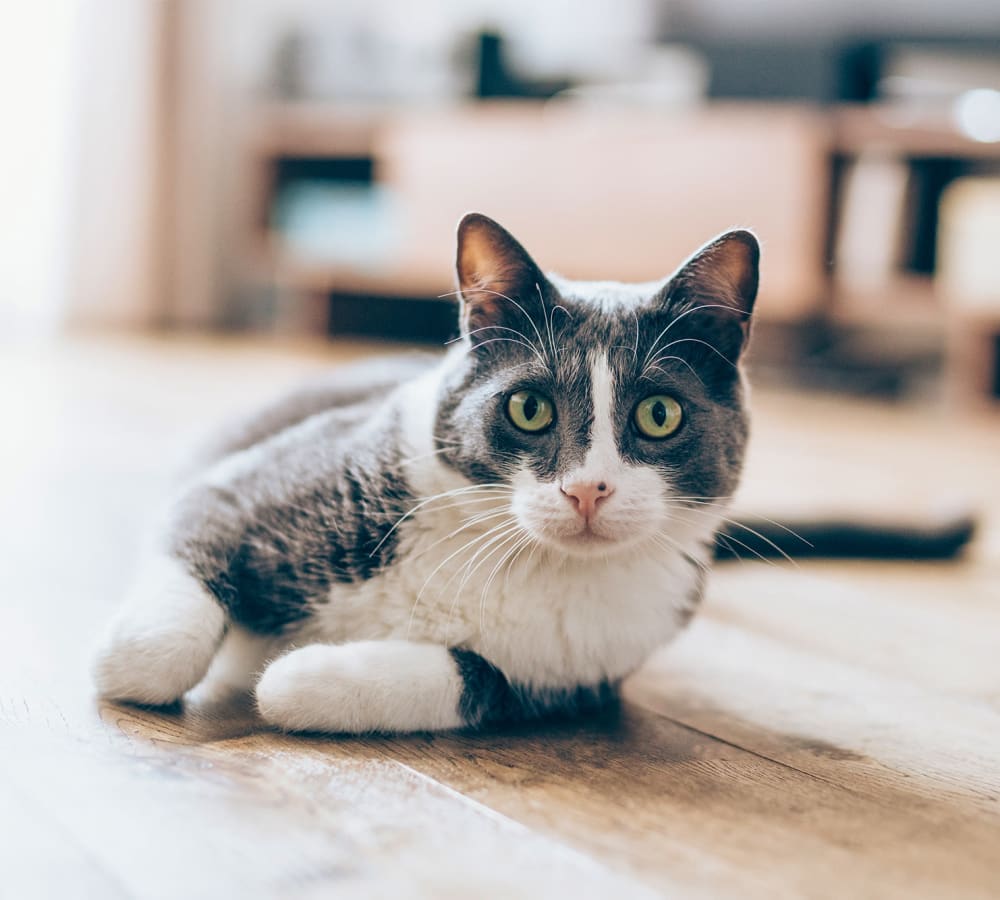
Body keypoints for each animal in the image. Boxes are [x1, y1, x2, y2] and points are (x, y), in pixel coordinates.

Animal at [92, 214, 968, 736]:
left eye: (659, 415)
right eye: (530, 407)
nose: (587, 489)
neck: (517, 556)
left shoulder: (586, 670)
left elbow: (474, 679)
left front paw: (304, 677)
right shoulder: (246, 487)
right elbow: (174, 595)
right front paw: (124, 659)